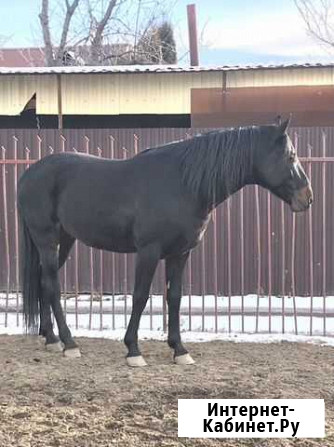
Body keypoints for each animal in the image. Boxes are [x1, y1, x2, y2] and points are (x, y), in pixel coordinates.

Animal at [18, 120, 314, 368]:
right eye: (291, 156)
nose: (307, 198)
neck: (182, 184)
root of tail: (30, 173)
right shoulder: (149, 252)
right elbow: (140, 296)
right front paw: (133, 350)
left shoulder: (180, 254)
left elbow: (174, 298)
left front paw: (180, 350)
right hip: (47, 240)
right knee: (53, 286)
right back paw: (69, 343)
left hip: (64, 241)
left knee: (44, 282)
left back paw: (51, 339)